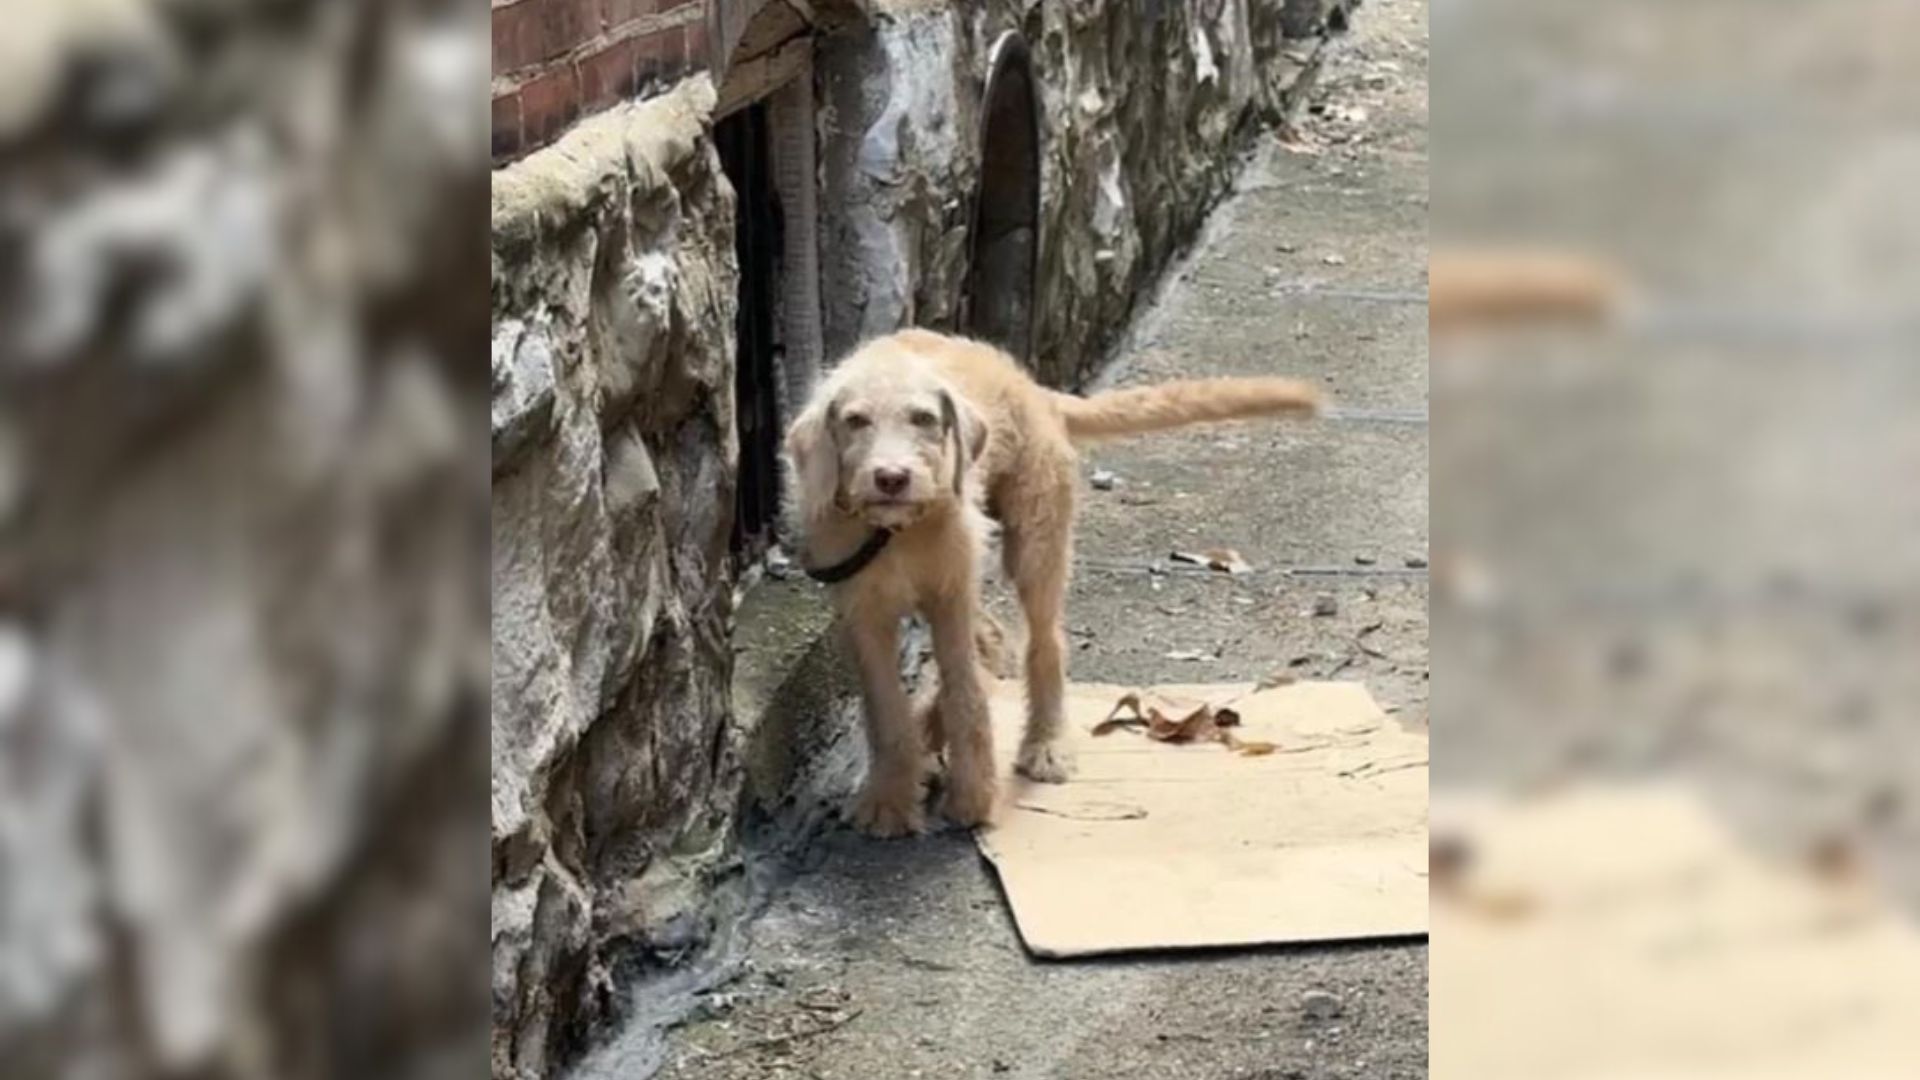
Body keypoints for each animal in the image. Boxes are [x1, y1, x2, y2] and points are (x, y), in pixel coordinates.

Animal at [779, 326, 1320, 834]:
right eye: (855, 421)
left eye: (924, 419)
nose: (892, 478)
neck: (897, 531)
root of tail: (1033, 388)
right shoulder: (865, 610)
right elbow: (886, 710)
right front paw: (889, 799)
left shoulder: (951, 592)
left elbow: (967, 694)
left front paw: (972, 797)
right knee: (993, 640)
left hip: (1036, 540)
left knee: (1043, 643)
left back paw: (1045, 743)